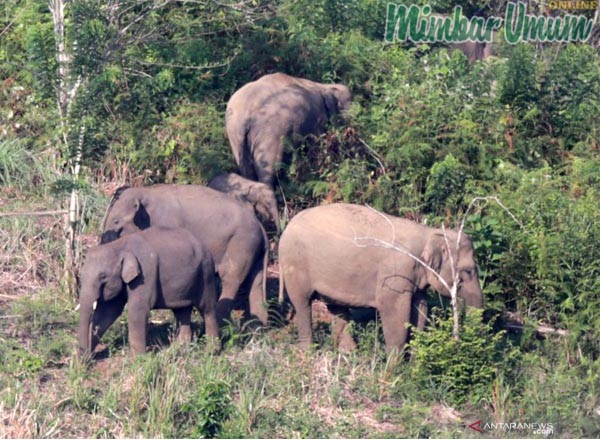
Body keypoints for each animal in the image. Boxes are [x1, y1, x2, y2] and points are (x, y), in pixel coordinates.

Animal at [78, 225, 219, 356]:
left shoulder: (144, 275)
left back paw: (211, 351)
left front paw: (138, 359)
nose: (83, 360)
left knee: (207, 309)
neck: (119, 245)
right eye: (81, 275)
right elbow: (108, 312)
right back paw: (176, 350)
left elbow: (137, 311)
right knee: (182, 311)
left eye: (102, 276)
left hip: (206, 274)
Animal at [101, 184, 270, 324]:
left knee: (231, 278)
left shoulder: (167, 223)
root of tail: (262, 227)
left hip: (241, 244)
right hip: (254, 249)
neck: (145, 192)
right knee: (255, 283)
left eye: (116, 221)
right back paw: (257, 328)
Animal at [278, 203, 482, 354]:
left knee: (336, 307)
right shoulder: (395, 272)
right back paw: (308, 352)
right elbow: (394, 311)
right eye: (468, 271)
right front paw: (394, 371)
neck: (428, 233)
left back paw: (348, 353)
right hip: (295, 264)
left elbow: (420, 309)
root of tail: (286, 228)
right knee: (302, 303)